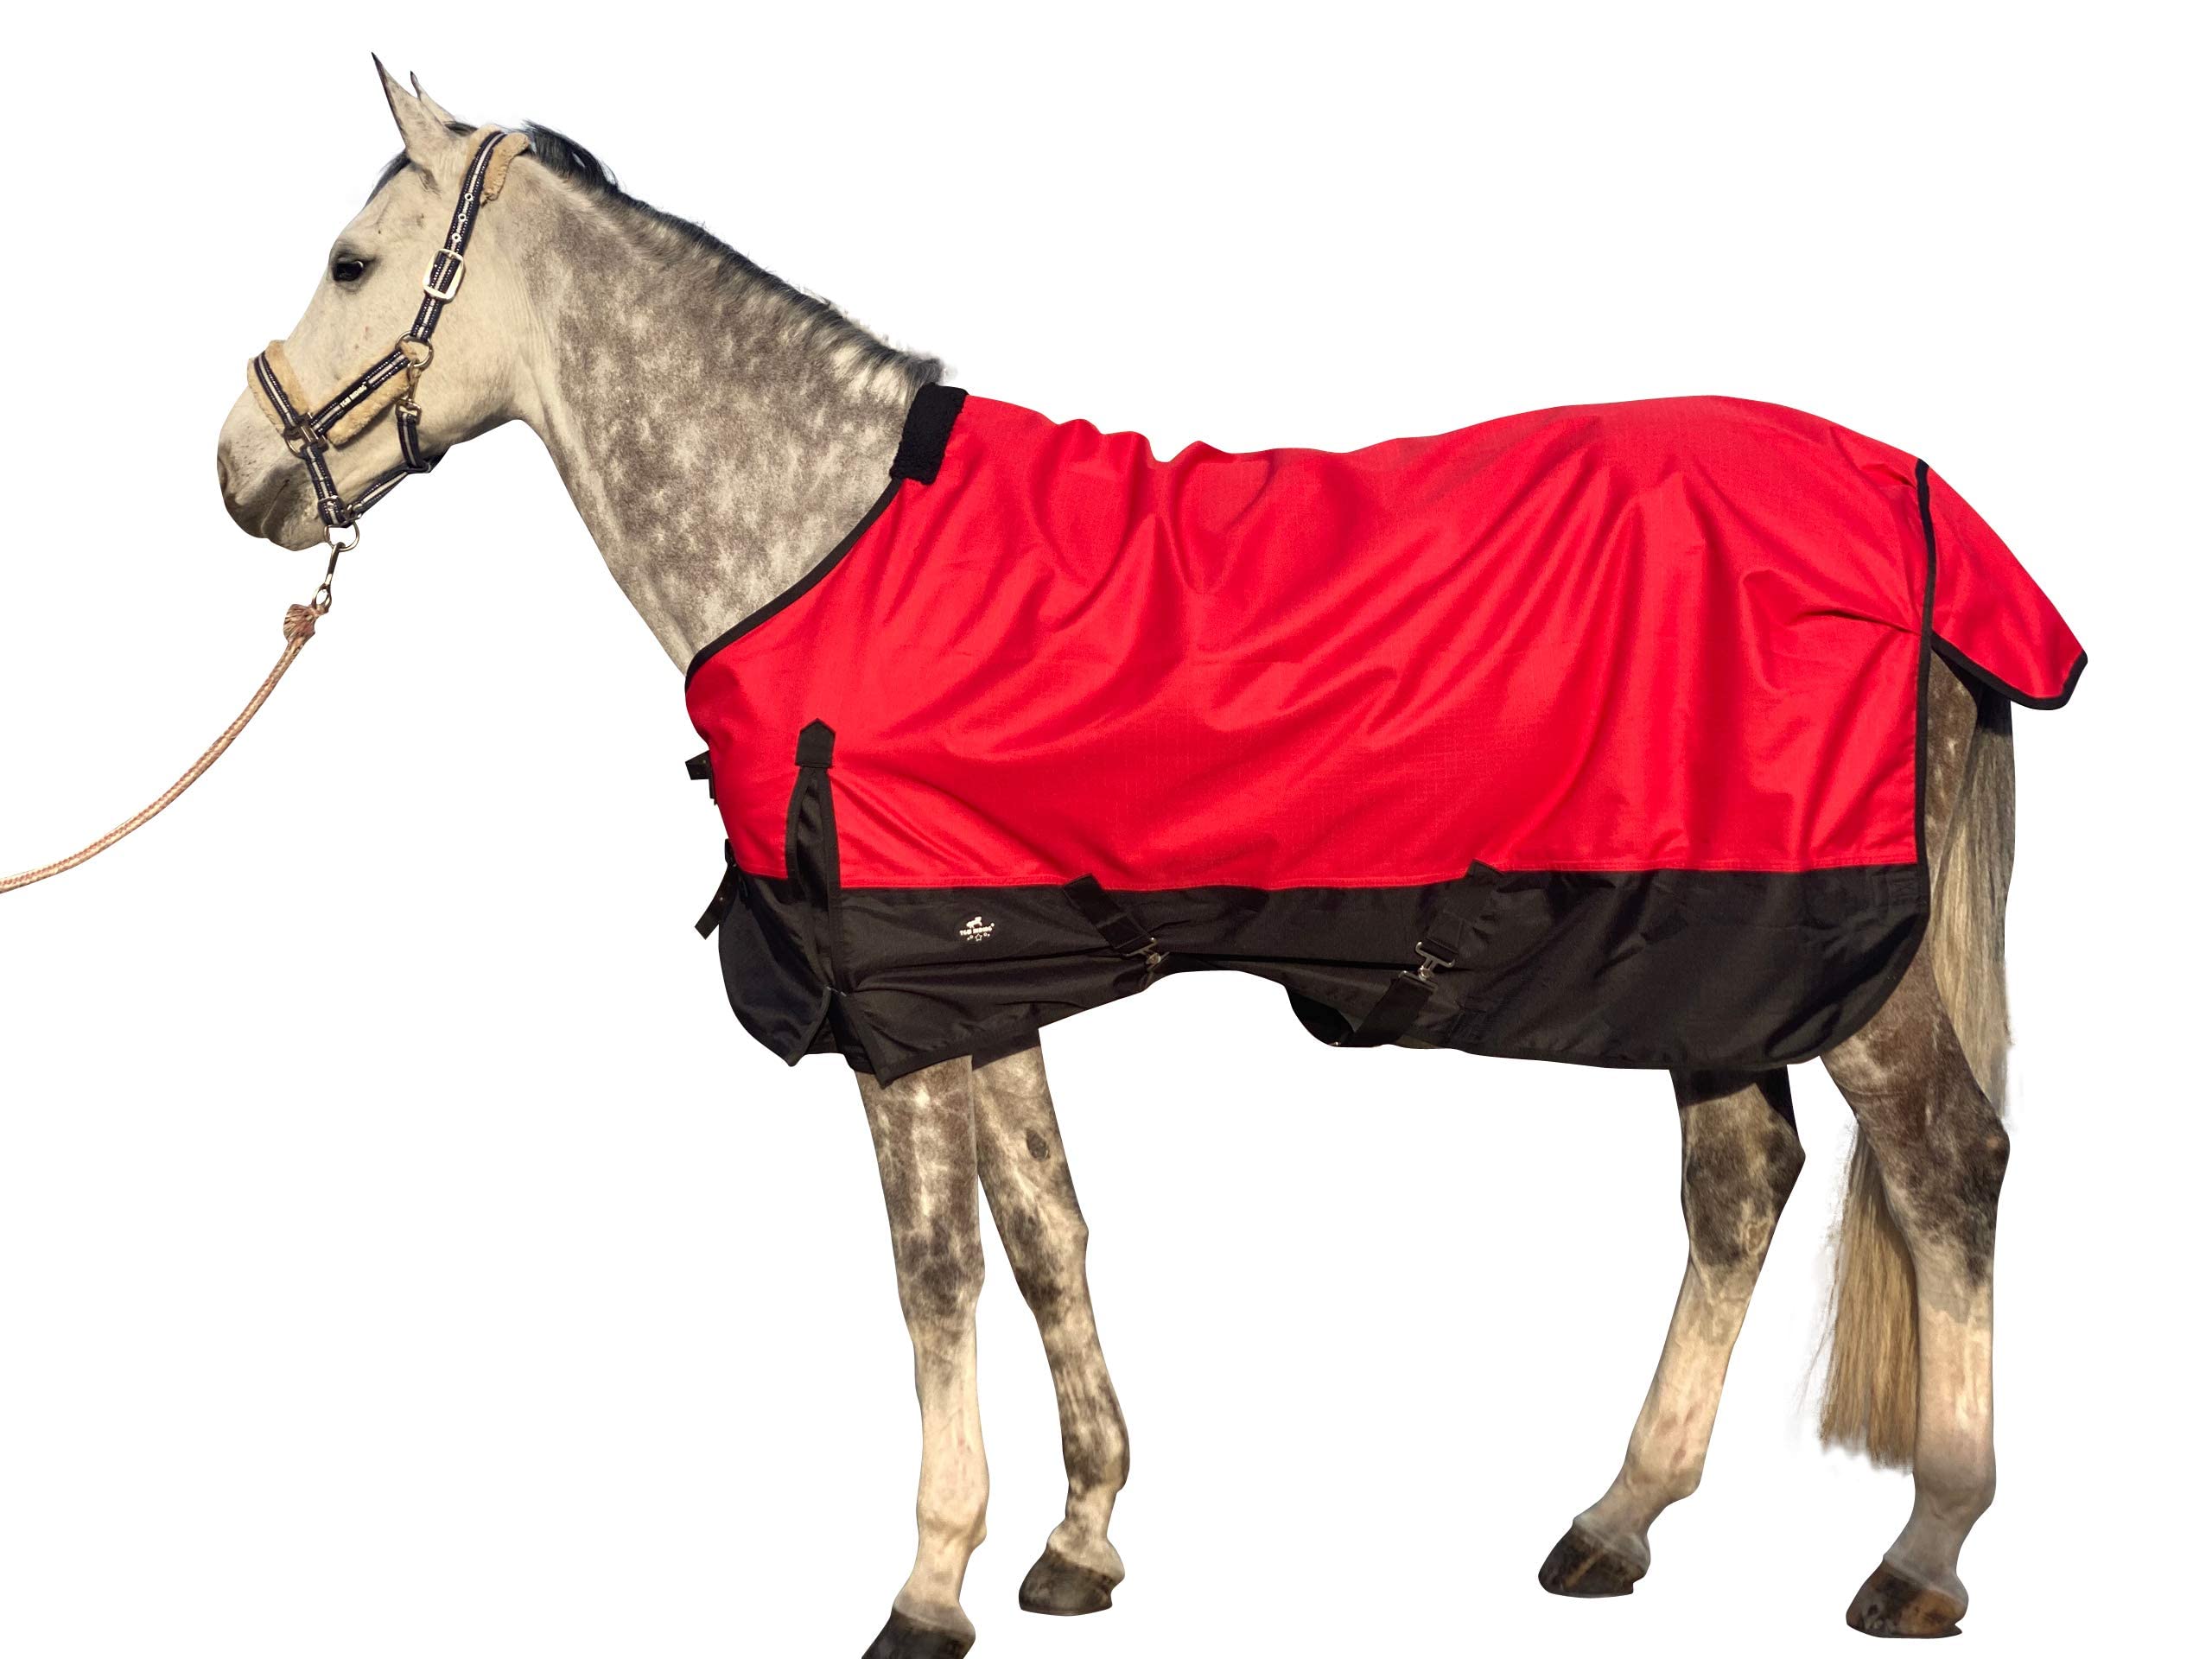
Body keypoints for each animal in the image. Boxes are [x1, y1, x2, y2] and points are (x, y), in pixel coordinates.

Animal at [215, 63, 2055, 1653]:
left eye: (352, 261)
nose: (240, 477)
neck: (825, 542)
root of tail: (1931, 522)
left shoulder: (894, 1007)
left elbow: (936, 1274)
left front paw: (928, 1587)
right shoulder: (977, 975)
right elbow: (1047, 1239)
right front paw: (1081, 1542)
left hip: (1841, 962)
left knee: (1947, 1167)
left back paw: (1922, 1554)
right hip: (1711, 956)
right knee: (1740, 1188)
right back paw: (1616, 1522)